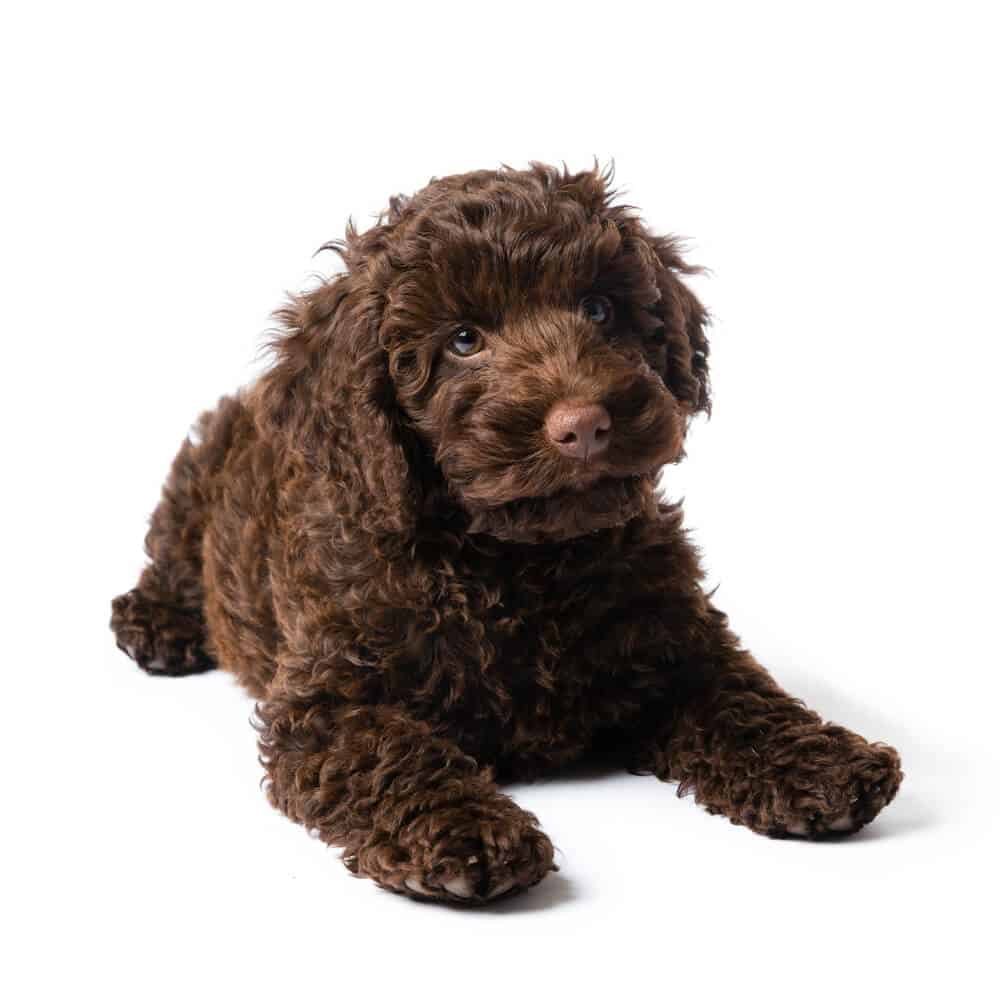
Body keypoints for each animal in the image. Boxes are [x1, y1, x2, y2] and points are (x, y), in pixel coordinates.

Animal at [113, 166, 904, 908]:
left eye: (598, 308)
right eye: (464, 340)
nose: (584, 425)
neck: (518, 560)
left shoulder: (678, 641)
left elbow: (742, 698)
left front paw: (818, 762)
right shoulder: (326, 708)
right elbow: (393, 755)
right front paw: (466, 834)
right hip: (201, 468)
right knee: (173, 545)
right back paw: (159, 622)